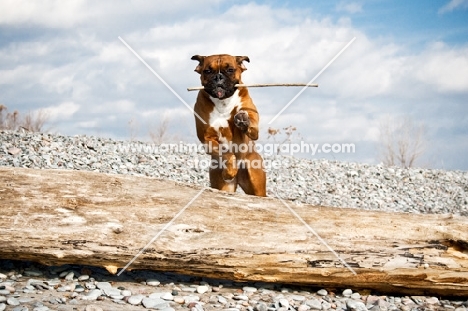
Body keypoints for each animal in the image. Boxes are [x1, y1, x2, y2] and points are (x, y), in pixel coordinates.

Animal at [191, 53, 266, 195]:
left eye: (230, 70)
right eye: (207, 71)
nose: (218, 76)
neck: (223, 101)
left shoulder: (252, 124)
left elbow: (251, 124)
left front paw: (243, 120)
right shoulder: (208, 139)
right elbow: (226, 153)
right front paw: (229, 171)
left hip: (257, 186)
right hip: (224, 185)